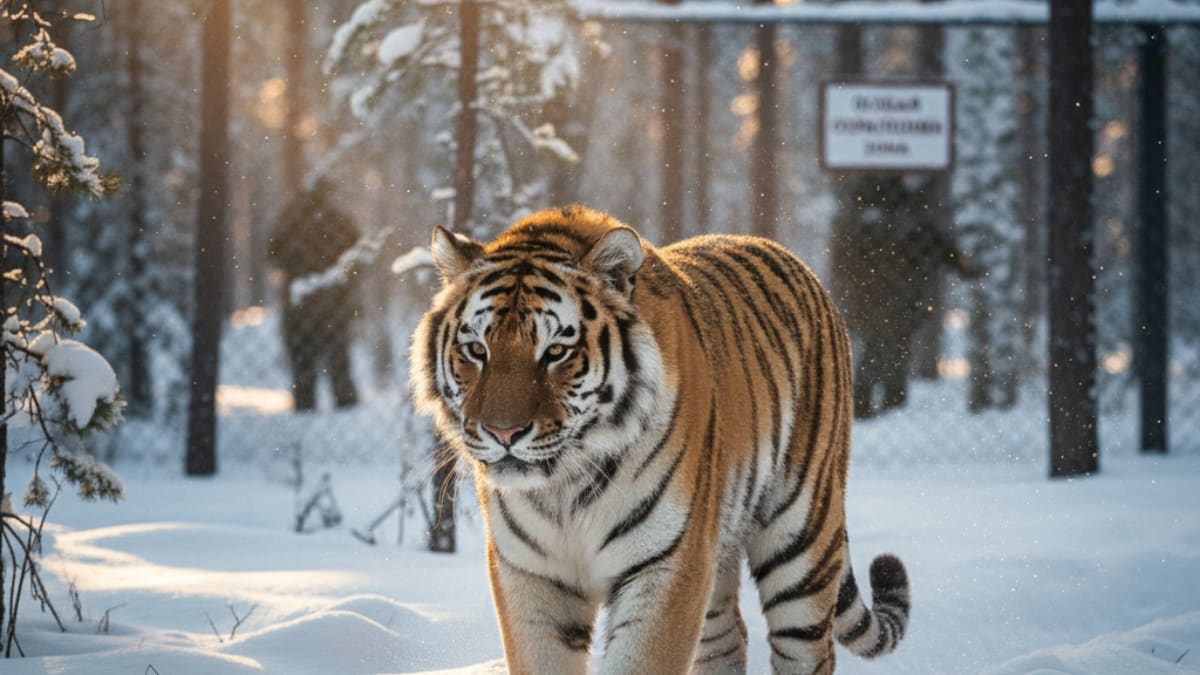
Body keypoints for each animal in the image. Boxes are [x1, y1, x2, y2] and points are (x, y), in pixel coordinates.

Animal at [410, 206, 910, 674]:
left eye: (556, 352)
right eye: (477, 350)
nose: (503, 433)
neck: (563, 489)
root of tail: (800, 266)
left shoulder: (668, 567)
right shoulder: (530, 574)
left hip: (802, 541)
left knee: (807, 649)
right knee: (728, 639)